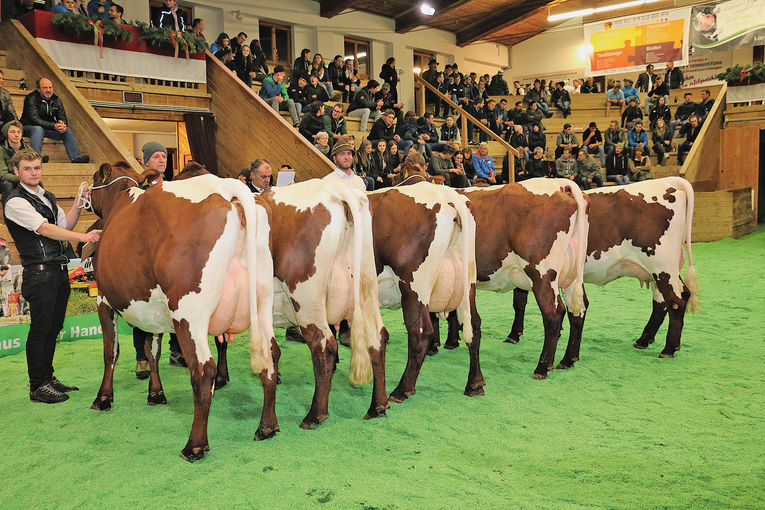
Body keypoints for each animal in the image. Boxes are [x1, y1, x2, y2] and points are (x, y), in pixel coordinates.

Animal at [87, 160, 278, 462]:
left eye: (95, 177)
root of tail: (227, 187)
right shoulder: (154, 311)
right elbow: (152, 350)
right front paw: (155, 393)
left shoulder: (103, 299)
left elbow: (111, 351)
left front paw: (103, 397)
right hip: (263, 303)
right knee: (271, 356)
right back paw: (267, 426)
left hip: (190, 313)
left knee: (203, 370)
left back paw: (195, 445)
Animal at [364, 183, 478, 402]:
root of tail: (445, 194)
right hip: (469, 283)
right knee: (474, 326)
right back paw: (475, 383)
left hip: (414, 288)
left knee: (420, 333)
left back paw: (402, 390)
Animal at [438, 179, 588, 378]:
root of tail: (560, 184)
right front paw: (451, 341)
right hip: (571, 277)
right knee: (578, 309)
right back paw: (568, 359)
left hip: (541, 273)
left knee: (554, 313)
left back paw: (542, 367)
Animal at [508, 177, 700, 360]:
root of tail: (669, 181)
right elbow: (519, 301)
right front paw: (516, 333)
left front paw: (513, 334)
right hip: (660, 271)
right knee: (664, 302)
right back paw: (644, 340)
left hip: (662, 266)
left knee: (676, 300)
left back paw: (668, 349)